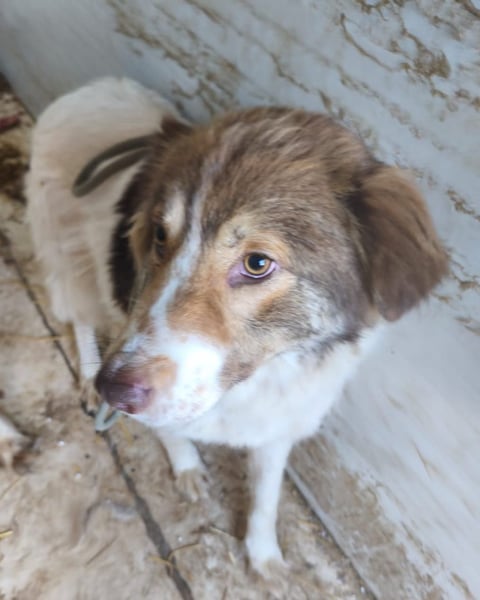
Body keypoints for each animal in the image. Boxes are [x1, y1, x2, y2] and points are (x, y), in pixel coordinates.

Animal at [26, 77, 447, 573]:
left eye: (257, 263)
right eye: (160, 236)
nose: (114, 390)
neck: (259, 379)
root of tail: (93, 87)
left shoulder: (279, 426)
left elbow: (266, 496)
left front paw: (263, 555)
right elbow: (172, 435)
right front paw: (187, 467)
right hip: (68, 260)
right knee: (79, 318)